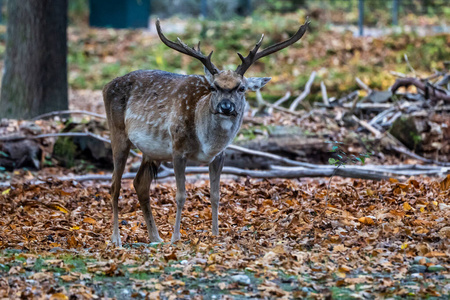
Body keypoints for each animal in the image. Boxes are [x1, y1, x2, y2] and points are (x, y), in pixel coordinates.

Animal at [103, 18, 310, 246]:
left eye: (241, 88)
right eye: (214, 87)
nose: (226, 107)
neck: (205, 143)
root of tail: (106, 85)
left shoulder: (220, 155)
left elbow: (216, 195)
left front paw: (215, 234)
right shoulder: (177, 148)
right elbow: (181, 195)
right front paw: (176, 238)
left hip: (152, 151)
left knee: (140, 183)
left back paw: (156, 238)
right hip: (117, 133)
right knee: (114, 185)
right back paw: (116, 239)